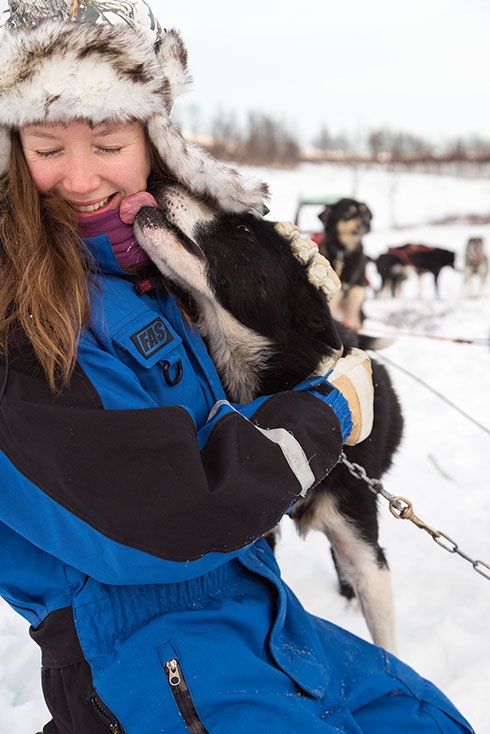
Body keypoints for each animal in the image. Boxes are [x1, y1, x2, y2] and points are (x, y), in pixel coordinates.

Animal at [316, 198, 374, 330]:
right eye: (348, 214)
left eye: (365, 213)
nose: (367, 223)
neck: (344, 253)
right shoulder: (332, 304)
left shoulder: (354, 306)